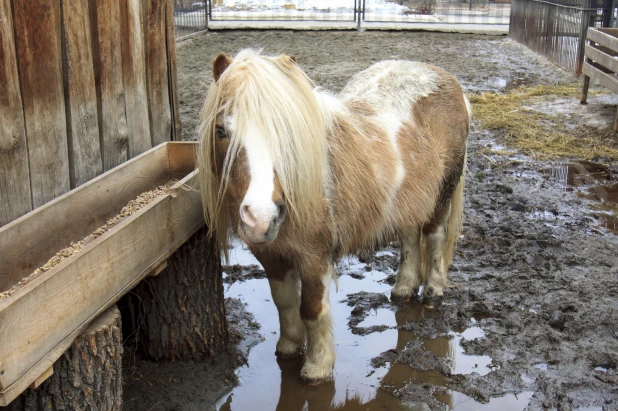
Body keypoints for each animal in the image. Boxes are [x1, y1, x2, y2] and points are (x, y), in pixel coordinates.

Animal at [197, 50, 466, 384]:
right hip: (407, 202)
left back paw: (433, 290)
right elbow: (284, 302)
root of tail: (442, 75)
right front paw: (288, 347)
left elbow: (311, 310)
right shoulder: (272, 256)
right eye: (221, 131)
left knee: (435, 236)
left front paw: (317, 367)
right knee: (408, 238)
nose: (260, 217)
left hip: (442, 195)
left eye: (287, 134)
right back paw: (403, 288)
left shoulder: (315, 259)